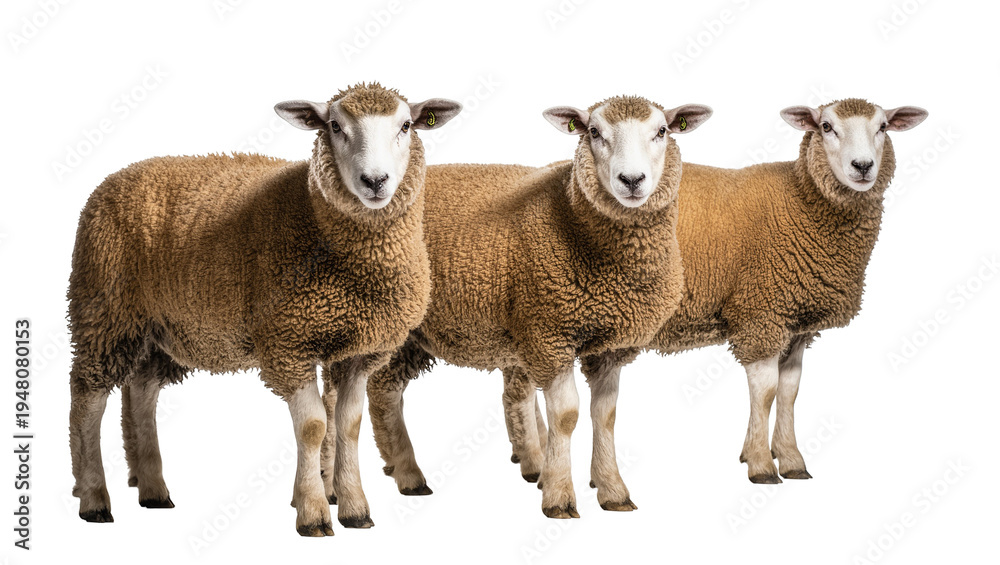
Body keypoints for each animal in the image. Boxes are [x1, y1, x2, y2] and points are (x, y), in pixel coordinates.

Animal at [68, 83, 461, 536]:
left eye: (406, 126)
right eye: (334, 126)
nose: (375, 181)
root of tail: (116, 177)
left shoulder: (361, 350)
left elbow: (349, 425)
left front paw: (355, 509)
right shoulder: (288, 342)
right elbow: (313, 426)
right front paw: (313, 513)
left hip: (161, 326)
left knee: (142, 392)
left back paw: (153, 490)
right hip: (104, 309)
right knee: (87, 398)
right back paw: (94, 498)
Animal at [361, 96, 713, 518]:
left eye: (661, 131)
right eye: (594, 132)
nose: (631, 180)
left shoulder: (610, 347)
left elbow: (605, 416)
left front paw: (613, 490)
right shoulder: (550, 334)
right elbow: (566, 416)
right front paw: (559, 496)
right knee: (374, 390)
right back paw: (401, 476)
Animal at [503, 98, 928, 504]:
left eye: (883, 127)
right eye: (827, 127)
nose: (863, 166)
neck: (800, 201)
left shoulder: (796, 323)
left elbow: (790, 390)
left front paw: (790, 458)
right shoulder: (761, 311)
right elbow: (767, 391)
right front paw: (761, 464)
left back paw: (535, 461)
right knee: (523, 387)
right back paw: (536, 463)